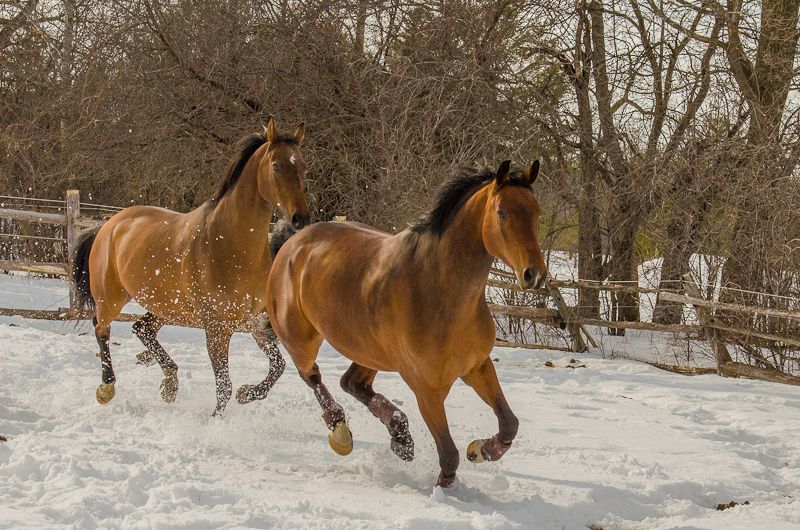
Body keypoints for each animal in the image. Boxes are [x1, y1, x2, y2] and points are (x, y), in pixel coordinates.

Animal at [71, 118, 310, 412]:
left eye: (302, 166)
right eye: (276, 165)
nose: (300, 218)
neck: (230, 245)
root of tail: (108, 225)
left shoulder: (254, 322)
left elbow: (277, 367)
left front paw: (247, 393)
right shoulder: (217, 328)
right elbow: (224, 387)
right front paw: (216, 419)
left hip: (165, 306)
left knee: (141, 328)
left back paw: (169, 383)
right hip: (111, 298)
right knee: (101, 328)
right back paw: (107, 388)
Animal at [266, 159, 548, 484]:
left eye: (536, 212)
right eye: (502, 213)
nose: (534, 274)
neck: (440, 293)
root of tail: (293, 243)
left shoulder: (477, 366)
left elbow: (509, 424)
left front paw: (480, 450)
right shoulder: (425, 387)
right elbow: (448, 455)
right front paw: (446, 485)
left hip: (370, 350)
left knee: (353, 383)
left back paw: (401, 437)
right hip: (301, 338)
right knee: (313, 376)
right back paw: (342, 433)